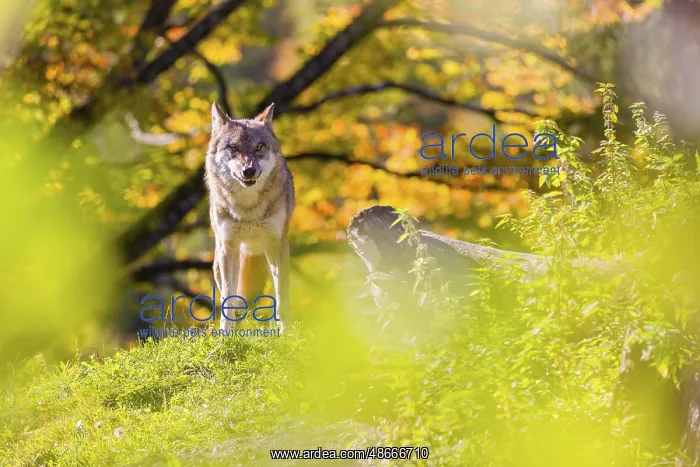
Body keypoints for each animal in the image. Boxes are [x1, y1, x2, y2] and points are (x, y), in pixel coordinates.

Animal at [205, 102, 295, 333]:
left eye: (259, 147)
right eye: (234, 148)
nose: (249, 171)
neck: (248, 210)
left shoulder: (277, 245)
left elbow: (282, 298)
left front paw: (287, 334)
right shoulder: (228, 247)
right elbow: (228, 299)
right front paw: (226, 335)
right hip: (220, 261)